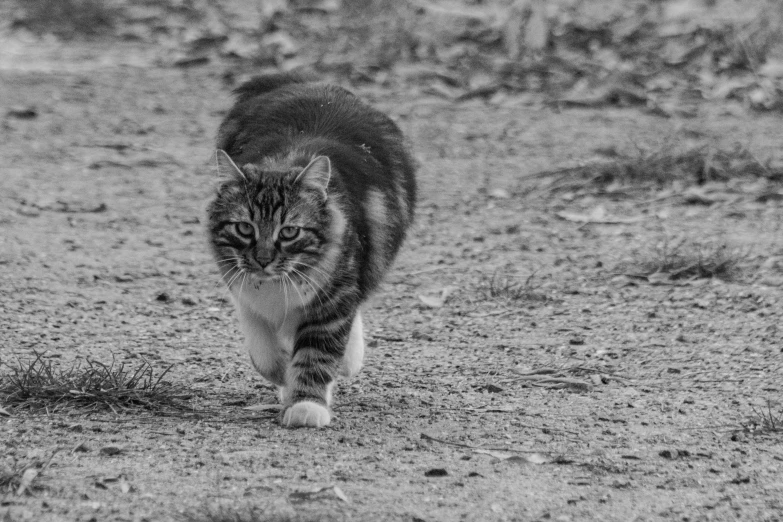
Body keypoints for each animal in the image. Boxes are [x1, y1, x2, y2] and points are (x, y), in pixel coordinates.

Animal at [207, 71, 416, 424]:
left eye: (289, 232)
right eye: (244, 228)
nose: (263, 259)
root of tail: (310, 81)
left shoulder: (333, 299)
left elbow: (316, 355)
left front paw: (306, 404)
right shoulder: (241, 287)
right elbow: (263, 346)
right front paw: (281, 373)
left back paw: (348, 360)